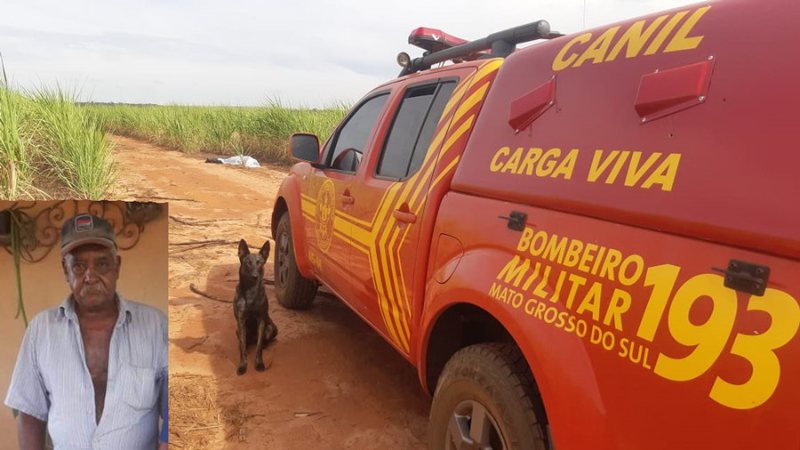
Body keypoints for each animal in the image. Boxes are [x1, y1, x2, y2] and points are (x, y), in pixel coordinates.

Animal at [234, 239, 278, 376]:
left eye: (260, 263)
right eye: (248, 263)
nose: (255, 276)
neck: (251, 293)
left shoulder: (261, 321)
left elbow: (258, 347)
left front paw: (259, 363)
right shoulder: (241, 322)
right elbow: (242, 348)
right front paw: (243, 365)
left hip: (271, 328)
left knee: (263, 341)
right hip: (238, 331)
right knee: (244, 342)